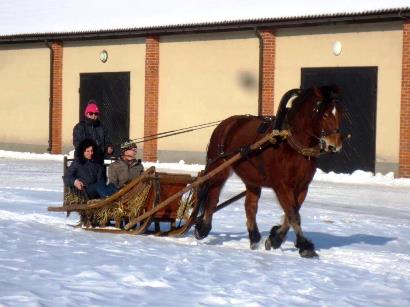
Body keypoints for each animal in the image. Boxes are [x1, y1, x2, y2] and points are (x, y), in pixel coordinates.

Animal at [195, 85, 346, 258]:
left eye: (339, 113)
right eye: (325, 113)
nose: (335, 144)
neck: (290, 143)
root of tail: (225, 124)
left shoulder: (302, 187)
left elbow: (290, 214)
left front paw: (275, 239)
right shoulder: (282, 186)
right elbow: (293, 215)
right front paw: (305, 246)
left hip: (252, 179)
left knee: (250, 206)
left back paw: (254, 237)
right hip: (219, 169)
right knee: (213, 197)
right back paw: (203, 228)